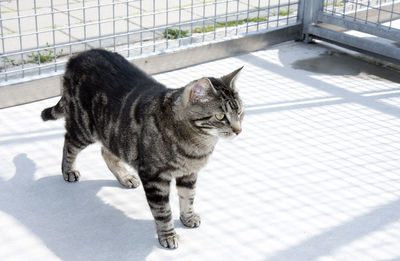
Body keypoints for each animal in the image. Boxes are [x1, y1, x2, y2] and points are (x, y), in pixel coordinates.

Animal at [42, 48, 245, 248]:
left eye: (240, 112)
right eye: (220, 116)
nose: (239, 130)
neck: (199, 144)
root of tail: (78, 55)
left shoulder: (188, 174)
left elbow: (188, 197)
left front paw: (187, 217)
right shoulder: (154, 177)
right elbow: (163, 212)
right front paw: (168, 235)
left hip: (114, 134)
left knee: (106, 152)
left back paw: (125, 177)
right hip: (83, 127)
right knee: (69, 143)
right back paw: (69, 170)